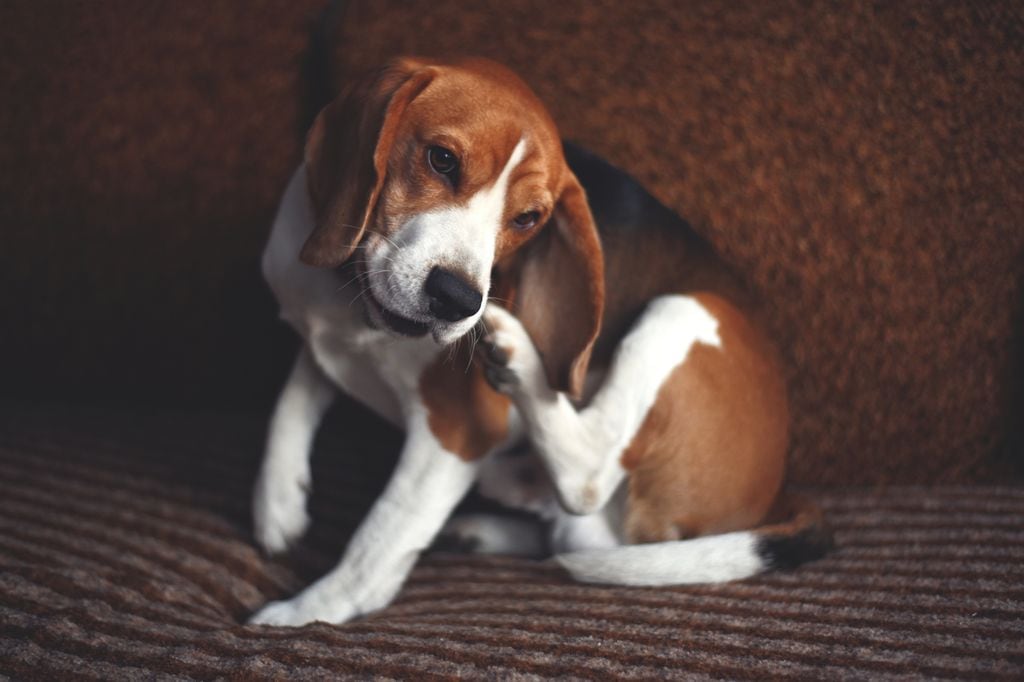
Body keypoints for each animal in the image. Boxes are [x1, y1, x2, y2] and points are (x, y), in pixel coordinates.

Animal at [249, 55, 831, 622]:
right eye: (441, 160)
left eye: (528, 219)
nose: (458, 299)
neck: (356, 310)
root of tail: (774, 491)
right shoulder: (317, 332)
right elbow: (293, 397)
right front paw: (277, 501)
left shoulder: (458, 431)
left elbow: (377, 540)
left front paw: (306, 614)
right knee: (577, 533)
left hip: (688, 310)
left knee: (587, 482)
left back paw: (519, 370)